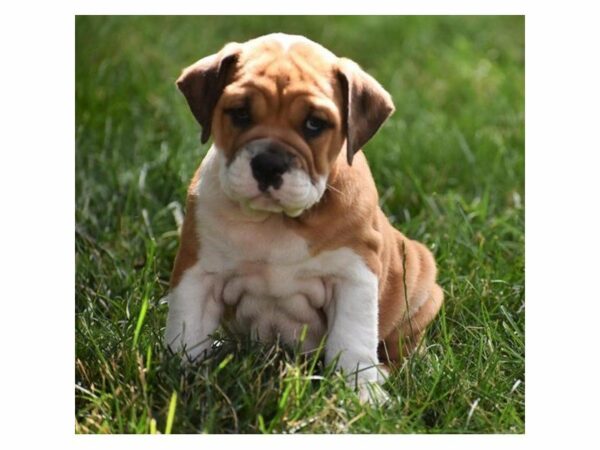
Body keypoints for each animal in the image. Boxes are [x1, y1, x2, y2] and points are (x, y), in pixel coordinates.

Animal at [166, 33, 442, 402]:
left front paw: (361, 393)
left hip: (419, 280)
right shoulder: (199, 272)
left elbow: (353, 339)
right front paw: (182, 377)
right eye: (240, 114)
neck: (277, 221)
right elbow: (186, 329)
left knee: (403, 346)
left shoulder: (353, 276)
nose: (269, 164)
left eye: (314, 124)